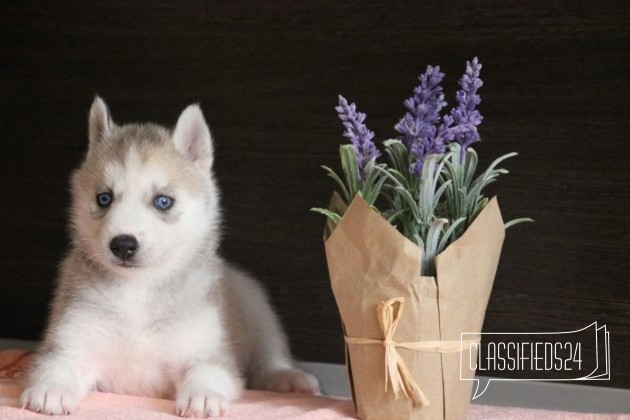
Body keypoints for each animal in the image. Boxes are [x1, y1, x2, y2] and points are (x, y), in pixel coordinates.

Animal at [21, 98, 320, 416]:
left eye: (163, 201)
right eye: (104, 198)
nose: (123, 244)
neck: (137, 292)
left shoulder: (209, 354)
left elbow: (207, 373)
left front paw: (203, 396)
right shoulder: (70, 341)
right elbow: (58, 366)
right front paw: (50, 390)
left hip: (256, 306)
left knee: (270, 355)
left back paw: (288, 377)